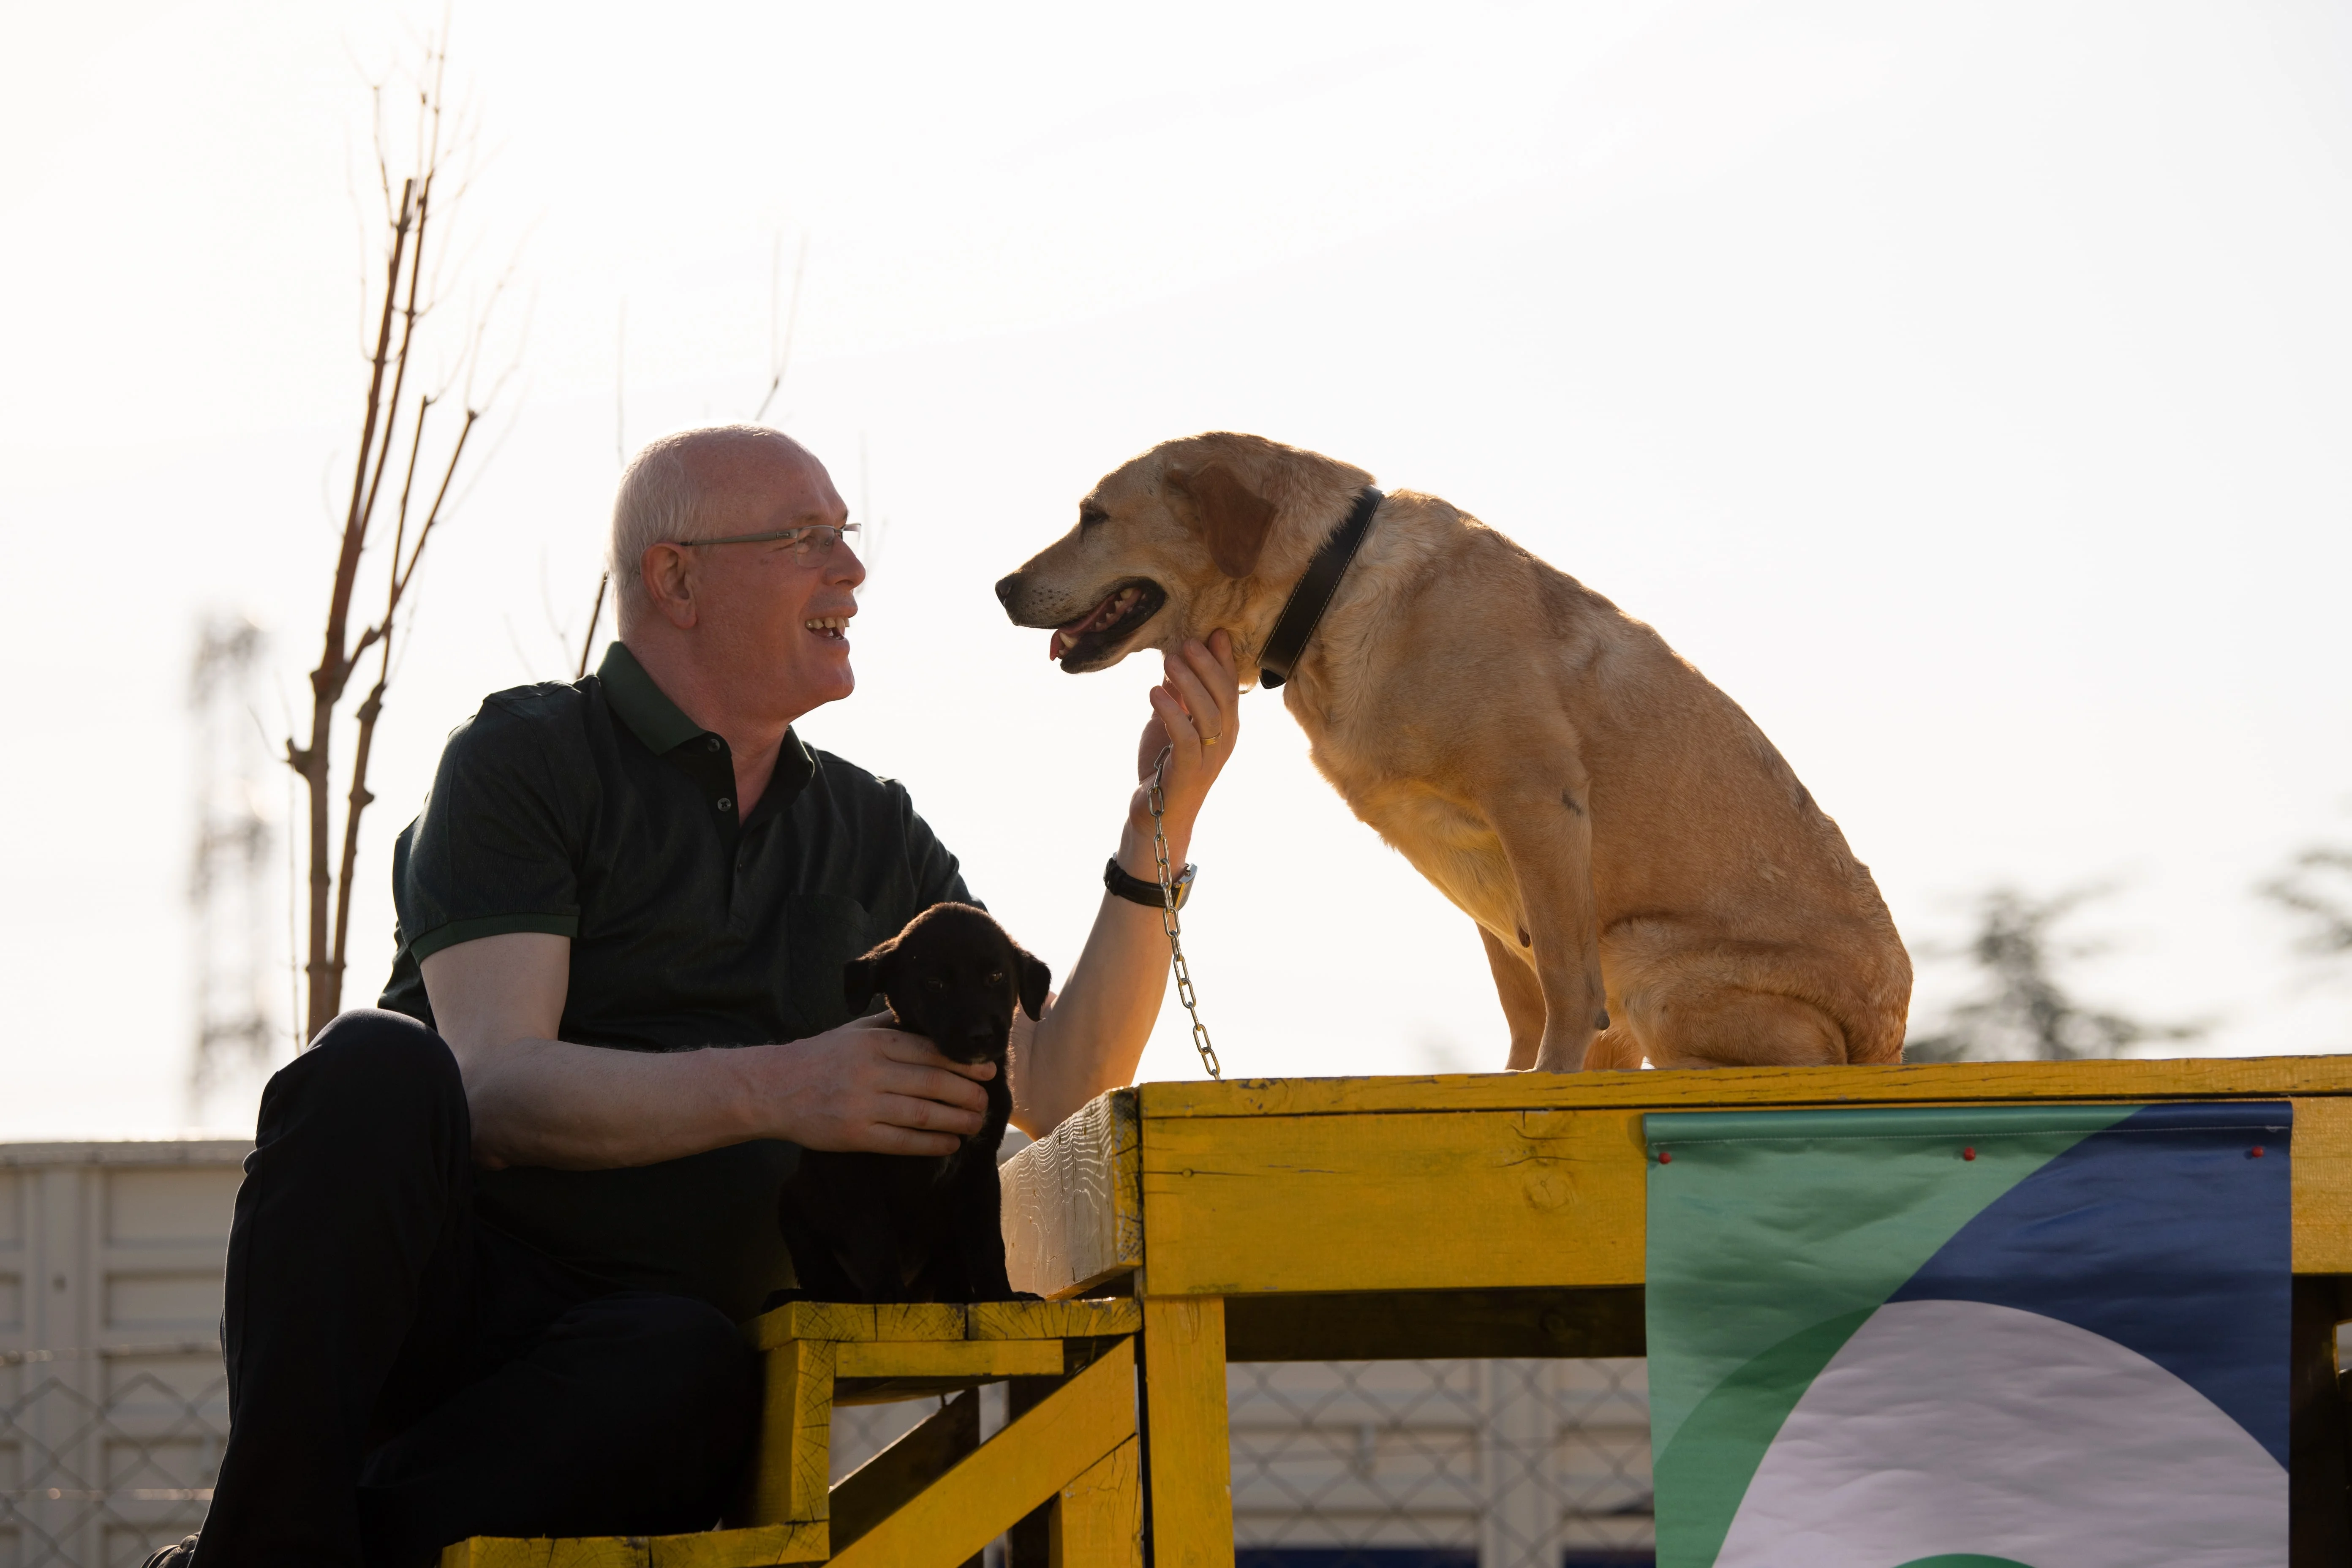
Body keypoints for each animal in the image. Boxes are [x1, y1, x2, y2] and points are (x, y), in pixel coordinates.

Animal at [776, 903, 1054, 1307]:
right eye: (935, 984)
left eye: (996, 977)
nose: (982, 1036)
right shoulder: (854, 1168)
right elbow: (872, 1235)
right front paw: (889, 1296)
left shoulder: (980, 1171)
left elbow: (987, 1243)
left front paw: (1000, 1297)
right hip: (794, 1207)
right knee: (823, 1279)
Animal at [997, 435, 1910, 1072]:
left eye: (1092, 516)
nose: (1000, 587)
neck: (1328, 592)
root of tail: (1891, 1036)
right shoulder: (1484, 865)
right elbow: (1526, 1006)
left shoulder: (1536, 805)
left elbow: (1565, 993)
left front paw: (1544, 1087)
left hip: (1646, 959)